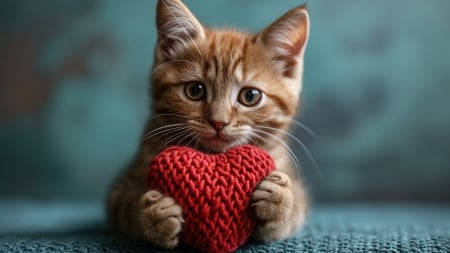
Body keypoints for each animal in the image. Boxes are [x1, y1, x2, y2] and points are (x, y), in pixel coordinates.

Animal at [108, 0, 310, 249]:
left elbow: (297, 207)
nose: (218, 121)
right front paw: (154, 214)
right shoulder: (120, 190)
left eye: (250, 96)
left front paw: (281, 201)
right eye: (195, 90)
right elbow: (125, 206)